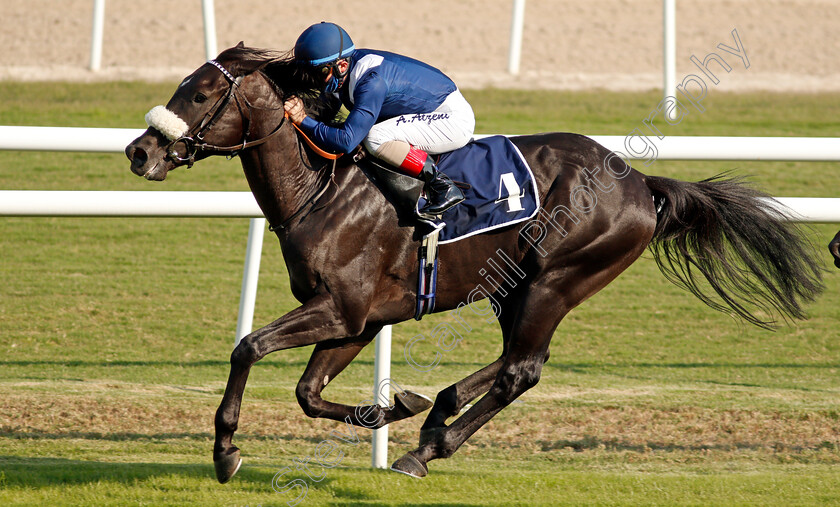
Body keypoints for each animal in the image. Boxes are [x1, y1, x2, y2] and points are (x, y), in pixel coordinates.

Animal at [123, 46, 820, 484]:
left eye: (202, 92)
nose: (139, 151)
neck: (320, 191)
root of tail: (638, 181)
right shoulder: (358, 321)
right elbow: (307, 392)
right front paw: (393, 408)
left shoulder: (340, 309)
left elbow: (248, 348)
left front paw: (224, 451)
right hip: (516, 286)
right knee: (518, 359)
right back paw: (435, 414)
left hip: (557, 279)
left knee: (521, 369)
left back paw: (430, 447)